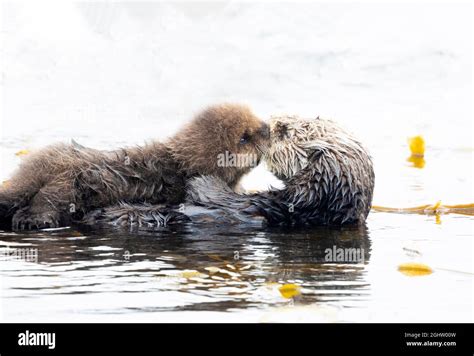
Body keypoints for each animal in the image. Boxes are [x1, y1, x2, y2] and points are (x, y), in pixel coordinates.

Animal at [0, 103, 270, 231]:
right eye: (244, 137)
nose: (267, 128)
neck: (179, 164)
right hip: (66, 183)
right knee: (46, 199)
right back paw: (33, 220)